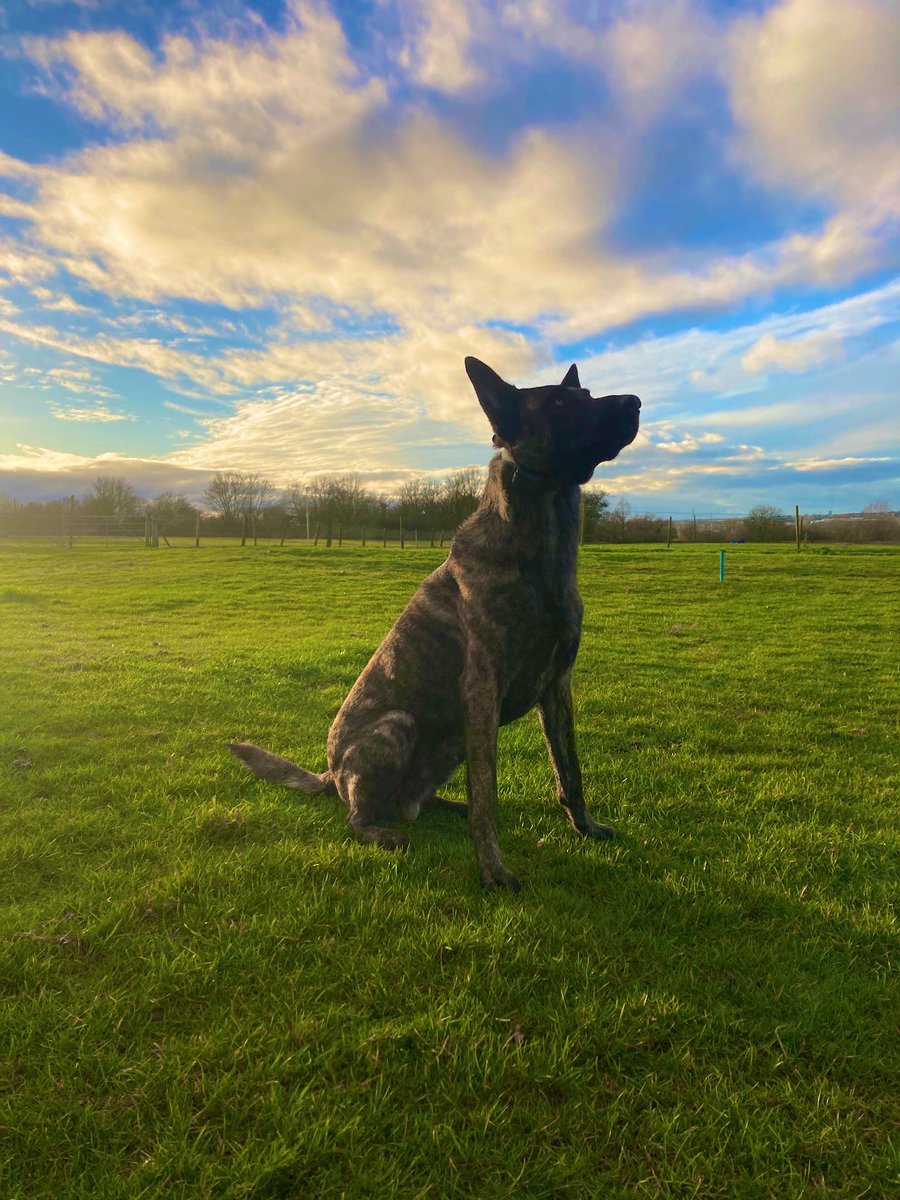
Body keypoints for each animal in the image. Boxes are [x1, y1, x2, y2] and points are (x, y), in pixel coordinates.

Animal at [232, 355, 643, 892]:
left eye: (587, 394)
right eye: (556, 402)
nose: (635, 402)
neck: (539, 555)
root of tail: (331, 774)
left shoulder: (558, 687)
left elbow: (570, 772)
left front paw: (586, 827)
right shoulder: (482, 691)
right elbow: (489, 797)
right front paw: (493, 871)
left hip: (448, 749)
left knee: (424, 802)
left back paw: (448, 806)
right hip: (397, 726)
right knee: (358, 818)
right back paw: (384, 833)